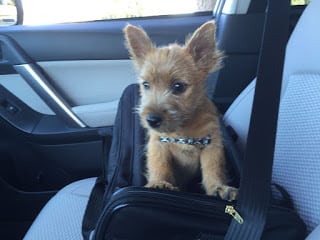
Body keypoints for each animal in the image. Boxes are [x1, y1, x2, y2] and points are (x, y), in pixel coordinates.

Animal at [125, 21, 238, 201]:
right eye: (146, 85)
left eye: (178, 87)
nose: (151, 120)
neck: (183, 130)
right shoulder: (158, 144)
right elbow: (159, 164)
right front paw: (160, 182)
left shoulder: (211, 144)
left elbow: (213, 168)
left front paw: (219, 187)